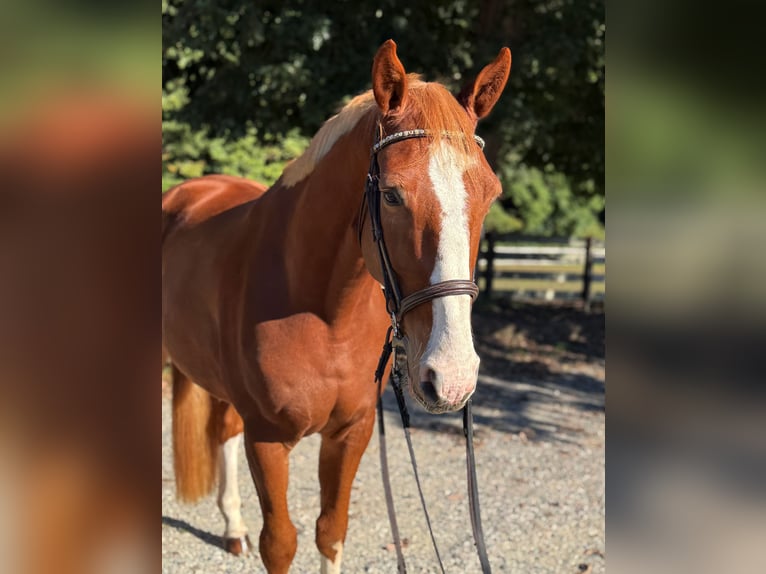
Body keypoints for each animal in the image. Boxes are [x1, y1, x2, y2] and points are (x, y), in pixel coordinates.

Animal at [162, 40, 511, 573]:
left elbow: (331, 531)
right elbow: (281, 543)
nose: (451, 376)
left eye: (491, 196)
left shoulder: (351, 434)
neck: (325, 318)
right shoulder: (267, 440)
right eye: (391, 195)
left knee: (223, 431)